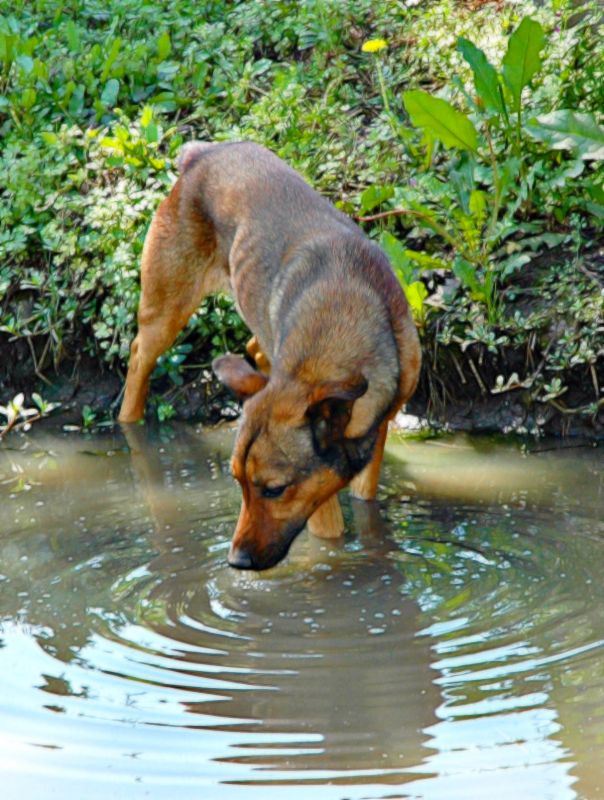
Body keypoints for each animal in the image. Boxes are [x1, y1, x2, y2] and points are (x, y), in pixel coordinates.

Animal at [118, 142, 420, 568]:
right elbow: (331, 537)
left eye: (273, 490)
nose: (236, 562)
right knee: (138, 356)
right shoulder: (318, 497)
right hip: (165, 309)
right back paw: (129, 421)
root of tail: (202, 154)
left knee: (251, 348)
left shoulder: (374, 434)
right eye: (237, 481)